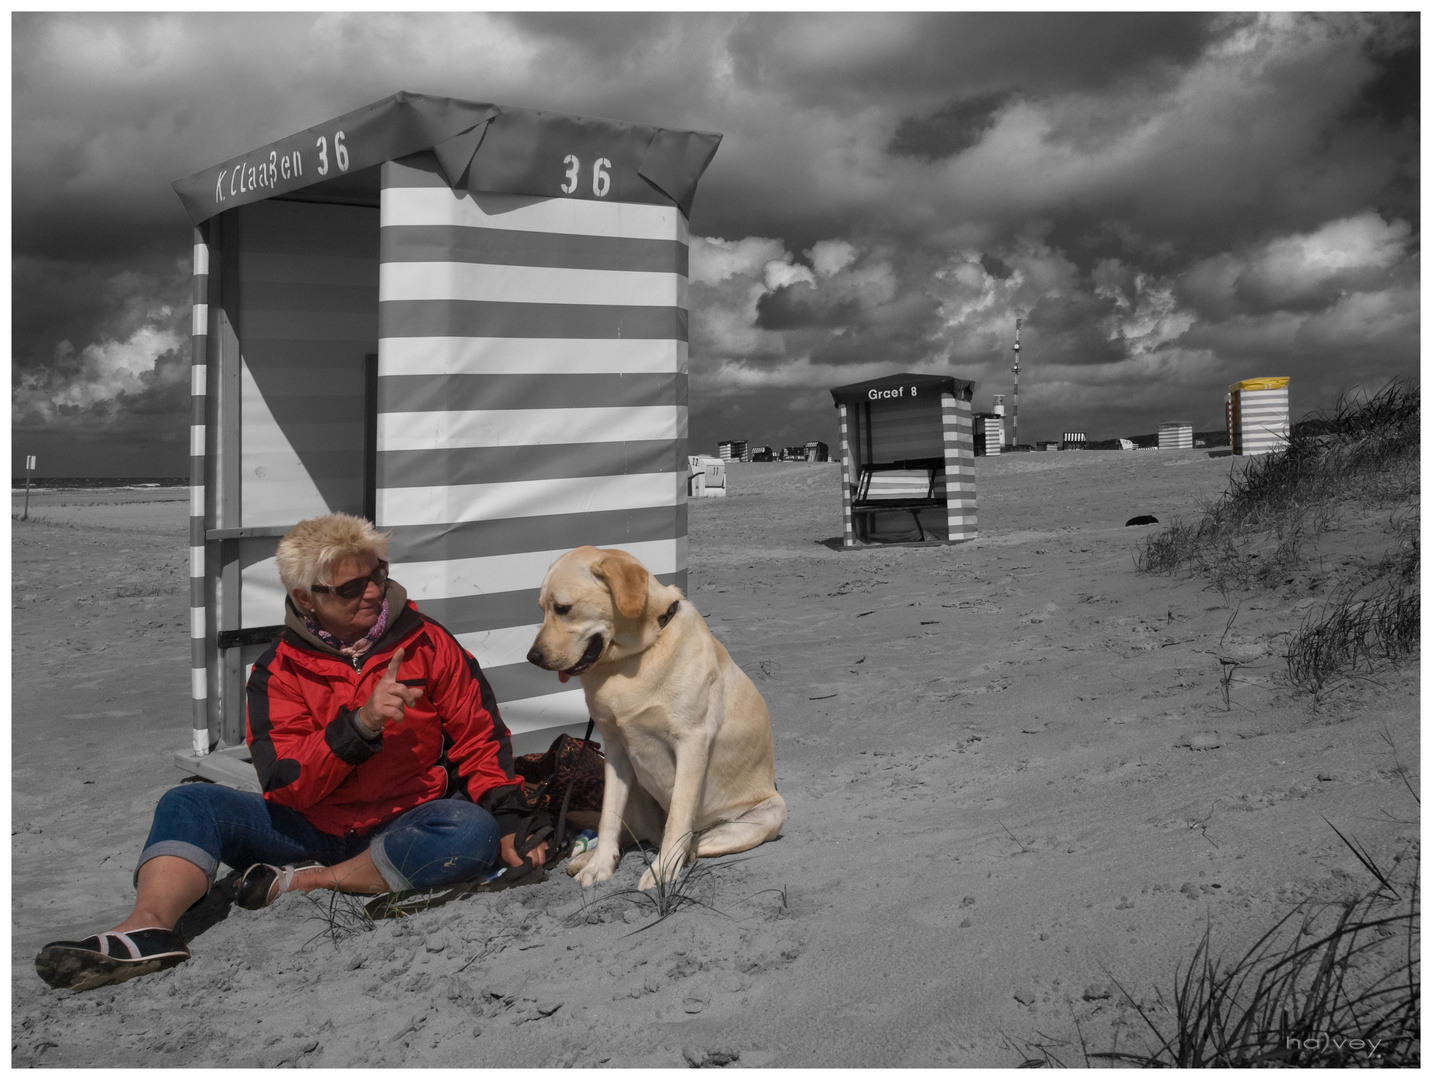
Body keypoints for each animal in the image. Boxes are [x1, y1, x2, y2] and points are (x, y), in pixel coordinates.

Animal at [532, 541, 790, 888]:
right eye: (542, 608)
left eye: (562, 608)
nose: (533, 657)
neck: (635, 657)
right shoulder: (615, 749)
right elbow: (608, 817)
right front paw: (599, 865)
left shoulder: (692, 743)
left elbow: (679, 817)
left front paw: (663, 869)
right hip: (636, 791)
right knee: (634, 834)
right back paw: (588, 856)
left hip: (770, 811)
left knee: (692, 838)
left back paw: (686, 852)